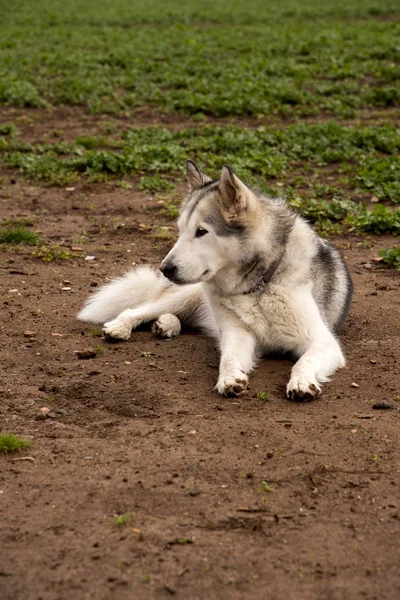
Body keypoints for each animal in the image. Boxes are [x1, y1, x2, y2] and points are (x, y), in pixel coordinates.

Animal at [79, 162, 354, 400]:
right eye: (180, 230)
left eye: (201, 232)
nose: (165, 268)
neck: (258, 287)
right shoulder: (237, 335)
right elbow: (228, 358)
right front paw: (229, 378)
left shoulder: (323, 341)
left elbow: (303, 361)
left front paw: (301, 382)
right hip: (185, 294)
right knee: (138, 309)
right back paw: (122, 326)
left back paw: (166, 325)